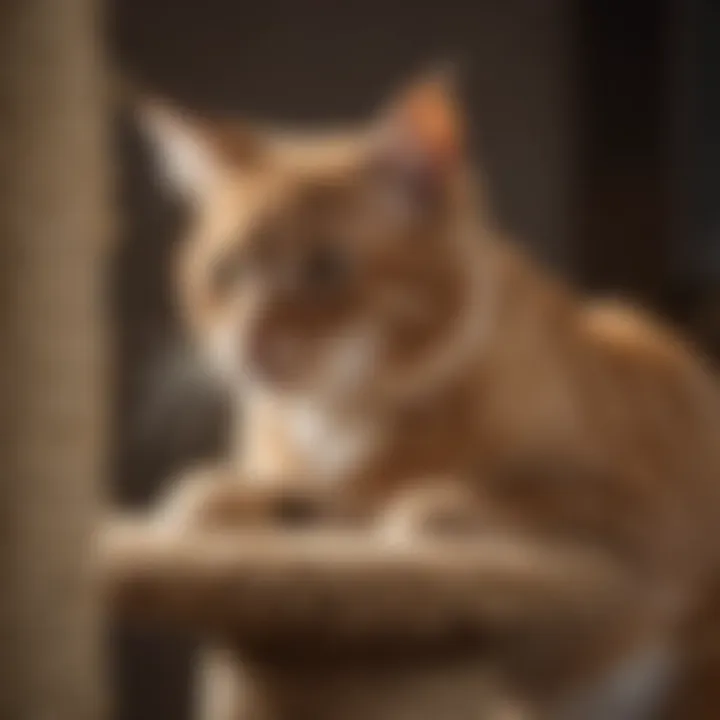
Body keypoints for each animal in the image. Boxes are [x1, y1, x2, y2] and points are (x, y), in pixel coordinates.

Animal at [135, 71, 720, 716]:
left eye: (325, 269)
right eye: (226, 272)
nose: (251, 341)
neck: (347, 414)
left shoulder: (640, 504)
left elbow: (520, 495)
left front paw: (440, 505)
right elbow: (295, 498)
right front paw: (219, 500)